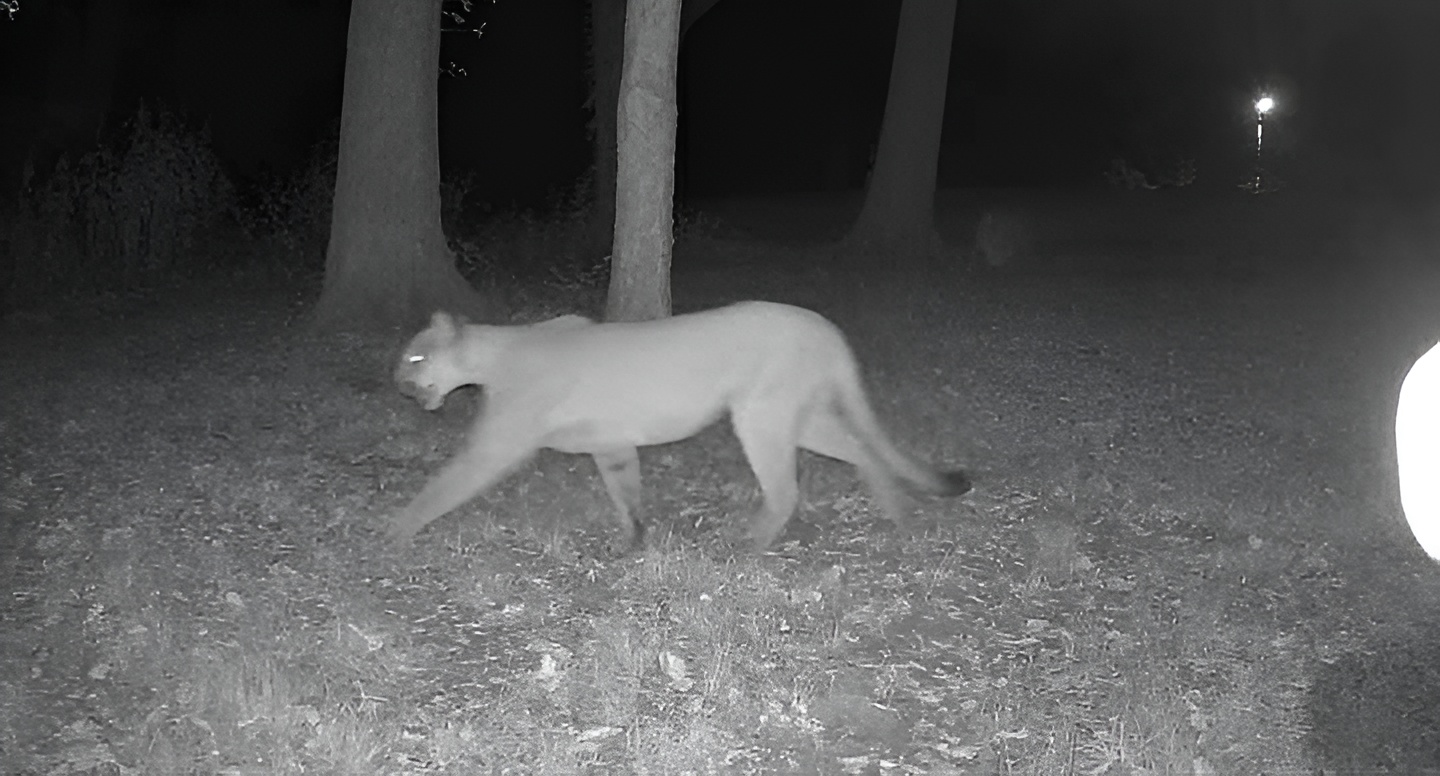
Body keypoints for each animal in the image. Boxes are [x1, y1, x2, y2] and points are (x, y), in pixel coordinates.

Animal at [386, 301, 971, 550]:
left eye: (415, 357)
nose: (397, 383)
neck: (497, 356)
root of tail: (824, 325)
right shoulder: (612, 444)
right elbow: (626, 492)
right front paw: (634, 540)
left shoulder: (496, 443)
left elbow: (445, 484)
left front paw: (394, 528)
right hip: (795, 416)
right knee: (857, 446)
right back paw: (896, 510)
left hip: (761, 414)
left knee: (786, 487)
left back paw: (747, 544)